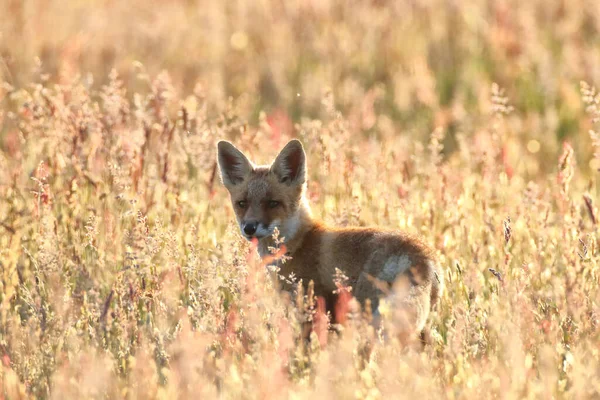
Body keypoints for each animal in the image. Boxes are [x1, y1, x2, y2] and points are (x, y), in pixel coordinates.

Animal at [218, 139, 442, 342]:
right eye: (242, 204)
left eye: (273, 203)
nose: (249, 227)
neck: (299, 243)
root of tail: (425, 255)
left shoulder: (312, 307)